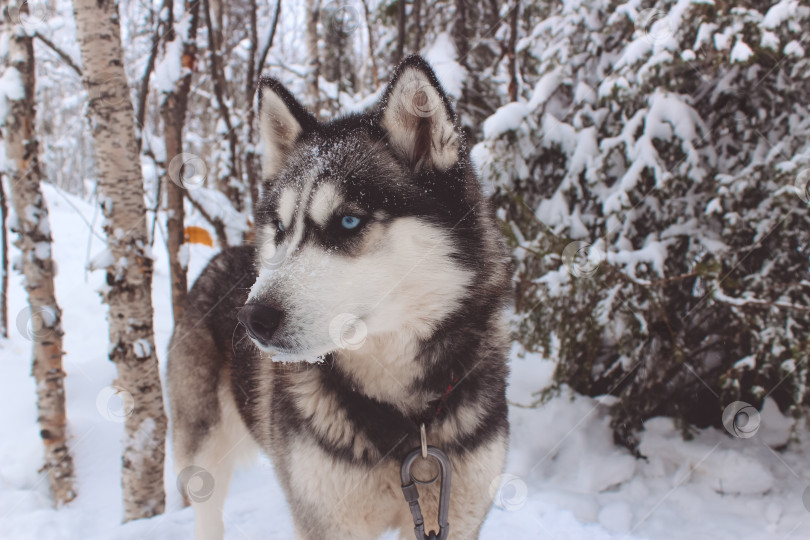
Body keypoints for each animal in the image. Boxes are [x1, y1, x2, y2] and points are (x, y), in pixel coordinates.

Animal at [168, 56, 512, 540]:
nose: (251, 318)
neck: (405, 418)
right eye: (281, 228)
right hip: (203, 457)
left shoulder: (457, 514)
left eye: (348, 222)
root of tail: (220, 257)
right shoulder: (326, 519)